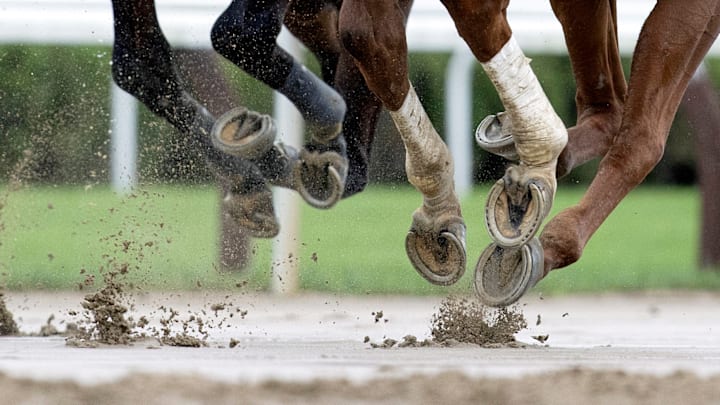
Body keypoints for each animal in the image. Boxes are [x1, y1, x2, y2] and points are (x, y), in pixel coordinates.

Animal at [338, 0, 720, 306]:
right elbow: (364, 34)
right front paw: (438, 212)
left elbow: (476, 15)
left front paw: (537, 165)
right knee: (609, 108)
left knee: (638, 133)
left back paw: (539, 241)